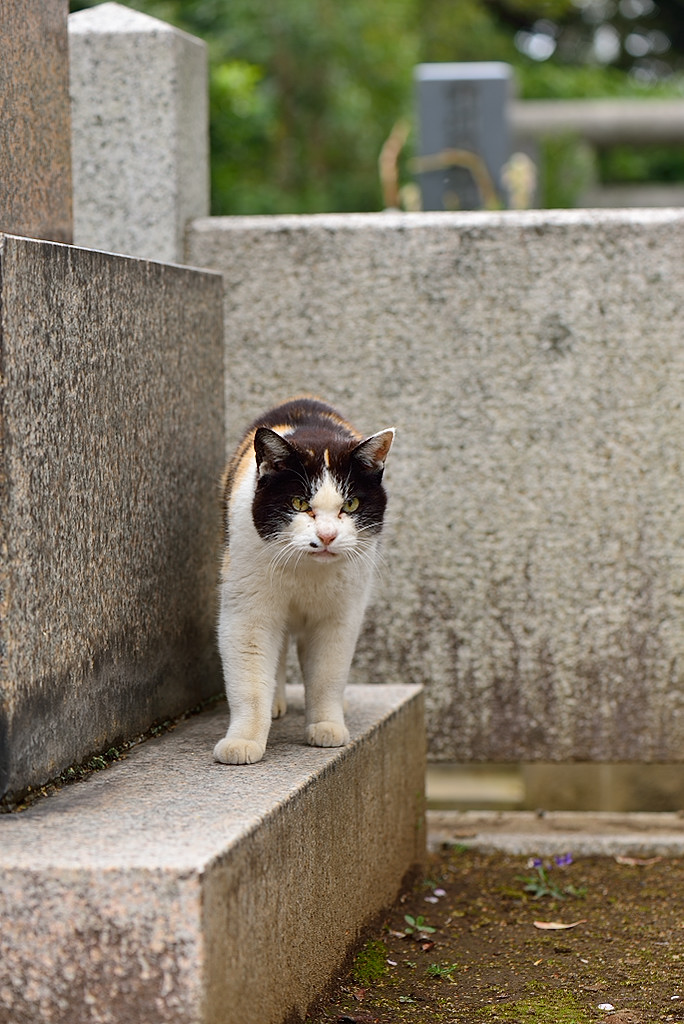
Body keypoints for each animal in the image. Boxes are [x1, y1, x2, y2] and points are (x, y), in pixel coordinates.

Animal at [214, 395, 395, 765]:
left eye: (350, 504)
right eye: (299, 503)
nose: (326, 536)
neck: (306, 573)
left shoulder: (339, 617)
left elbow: (327, 673)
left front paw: (326, 727)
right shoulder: (247, 609)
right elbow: (249, 675)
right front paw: (243, 742)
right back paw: (276, 703)